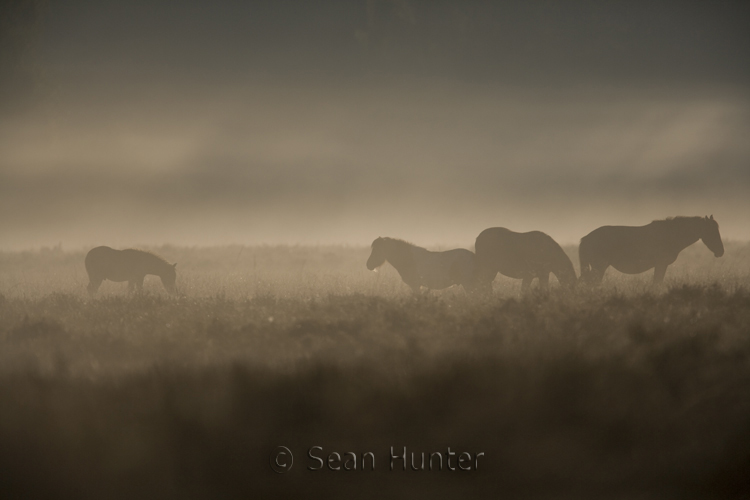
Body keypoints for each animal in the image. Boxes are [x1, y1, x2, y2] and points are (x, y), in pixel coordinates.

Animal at [580, 215, 724, 286]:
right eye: (711, 231)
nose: (721, 251)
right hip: (599, 266)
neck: (671, 235)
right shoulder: (661, 264)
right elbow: (657, 283)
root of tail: (585, 238)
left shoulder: (661, 265)